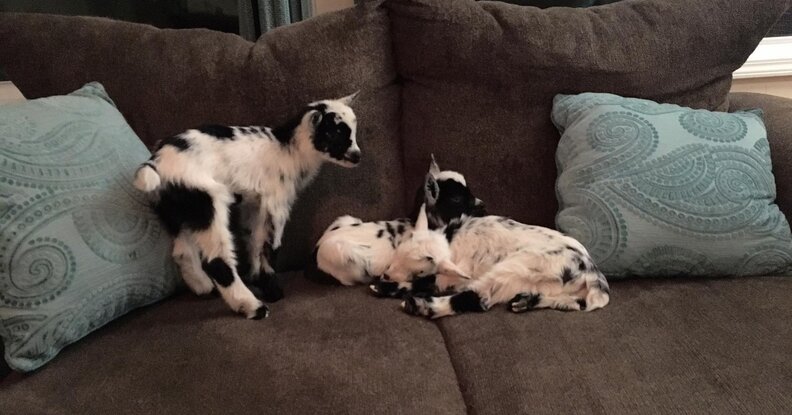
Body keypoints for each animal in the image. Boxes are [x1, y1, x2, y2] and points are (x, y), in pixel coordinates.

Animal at [133, 93, 360, 319]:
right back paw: (252, 307)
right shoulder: (276, 205)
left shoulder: (255, 205)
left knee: (182, 252)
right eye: (334, 133)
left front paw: (257, 278)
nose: (357, 156)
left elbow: (255, 241)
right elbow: (271, 246)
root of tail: (156, 162)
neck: (288, 148)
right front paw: (272, 290)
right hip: (208, 201)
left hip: (177, 211)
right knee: (217, 261)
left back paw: (204, 287)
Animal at [382, 204, 610, 318]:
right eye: (396, 254)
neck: (451, 241)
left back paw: (421, 306)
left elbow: (432, 281)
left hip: (516, 266)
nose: (385, 275)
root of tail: (591, 273)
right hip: (548, 288)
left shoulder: (458, 274)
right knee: (576, 303)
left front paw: (389, 287)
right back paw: (525, 301)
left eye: (417, 271)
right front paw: (385, 286)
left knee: (476, 298)